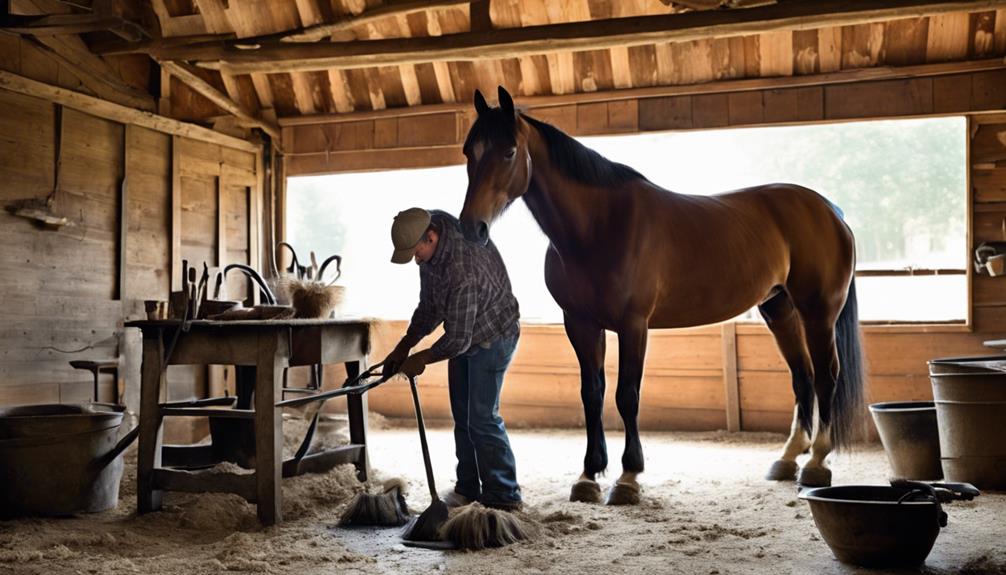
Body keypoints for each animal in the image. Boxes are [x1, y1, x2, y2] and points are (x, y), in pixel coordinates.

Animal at [460, 85, 861, 502]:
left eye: (509, 151)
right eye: (469, 152)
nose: (471, 227)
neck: (599, 226)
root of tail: (831, 210)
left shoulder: (634, 325)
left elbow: (627, 395)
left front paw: (628, 477)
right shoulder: (581, 324)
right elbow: (592, 394)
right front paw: (589, 475)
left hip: (818, 312)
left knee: (825, 375)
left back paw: (817, 462)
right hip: (779, 309)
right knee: (802, 375)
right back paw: (788, 457)